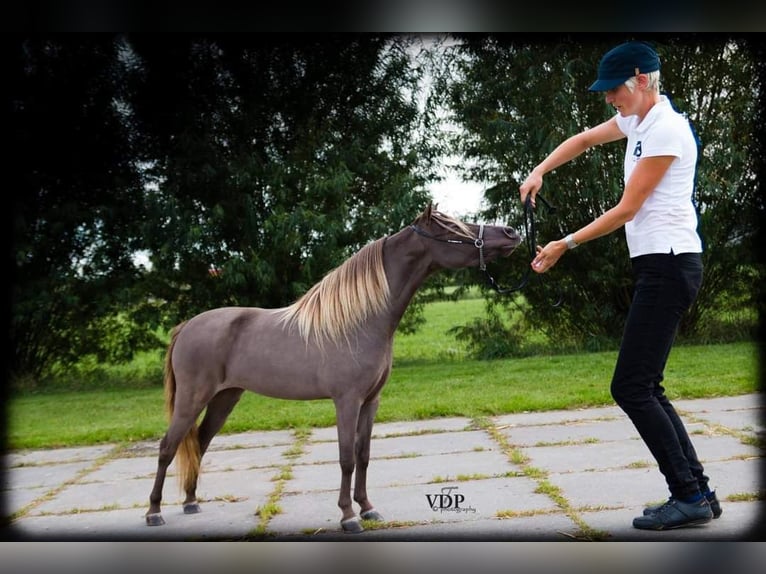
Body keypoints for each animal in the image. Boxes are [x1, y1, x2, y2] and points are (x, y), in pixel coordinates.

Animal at [145, 203, 521, 533]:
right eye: (454, 230)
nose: (511, 233)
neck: (361, 320)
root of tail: (186, 327)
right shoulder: (347, 400)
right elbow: (346, 458)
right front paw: (348, 516)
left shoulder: (371, 401)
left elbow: (364, 454)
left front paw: (367, 508)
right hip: (193, 398)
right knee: (167, 447)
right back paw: (154, 512)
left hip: (225, 398)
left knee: (199, 442)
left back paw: (191, 502)